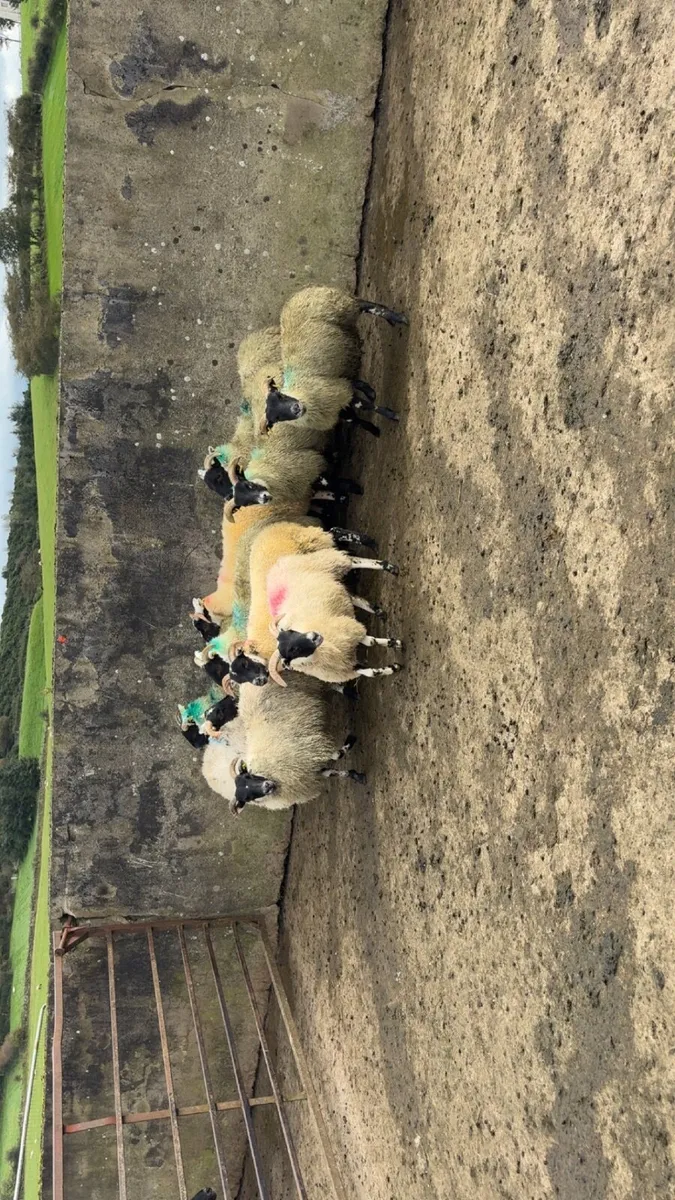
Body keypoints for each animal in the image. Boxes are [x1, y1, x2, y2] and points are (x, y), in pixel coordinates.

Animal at [230, 674, 365, 814]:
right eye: (248, 798)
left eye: (249, 776)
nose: (267, 786)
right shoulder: (308, 772)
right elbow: (332, 772)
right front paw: (355, 775)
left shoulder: (307, 749)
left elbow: (337, 755)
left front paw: (350, 741)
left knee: (327, 681)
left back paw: (349, 692)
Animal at [264, 286, 407, 431]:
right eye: (277, 418)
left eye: (281, 395)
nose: (296, 409)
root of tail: (297, 293)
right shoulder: (339, 403)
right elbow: (357, 415)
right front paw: (374, 429)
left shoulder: (341, 393)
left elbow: (367, 406)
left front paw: (392, 415)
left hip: (340, 305)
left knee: (368, 306)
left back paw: (398, 317)